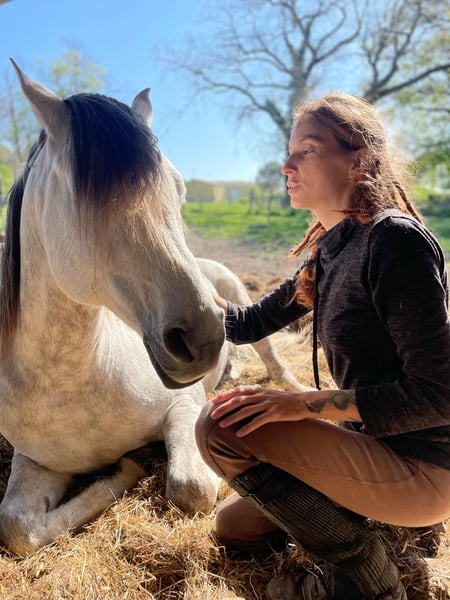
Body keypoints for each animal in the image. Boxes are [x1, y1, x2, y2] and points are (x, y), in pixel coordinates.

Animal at [0, 62, 306, 556]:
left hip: (242, 303)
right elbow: (17, 528)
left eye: (179, 191)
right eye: (85, 198)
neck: (71, 379)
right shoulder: (37, 461)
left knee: (274, 360)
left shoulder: (183, 406)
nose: (204, 340)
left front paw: (131, 465)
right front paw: (125, 467)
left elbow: (189, 488)